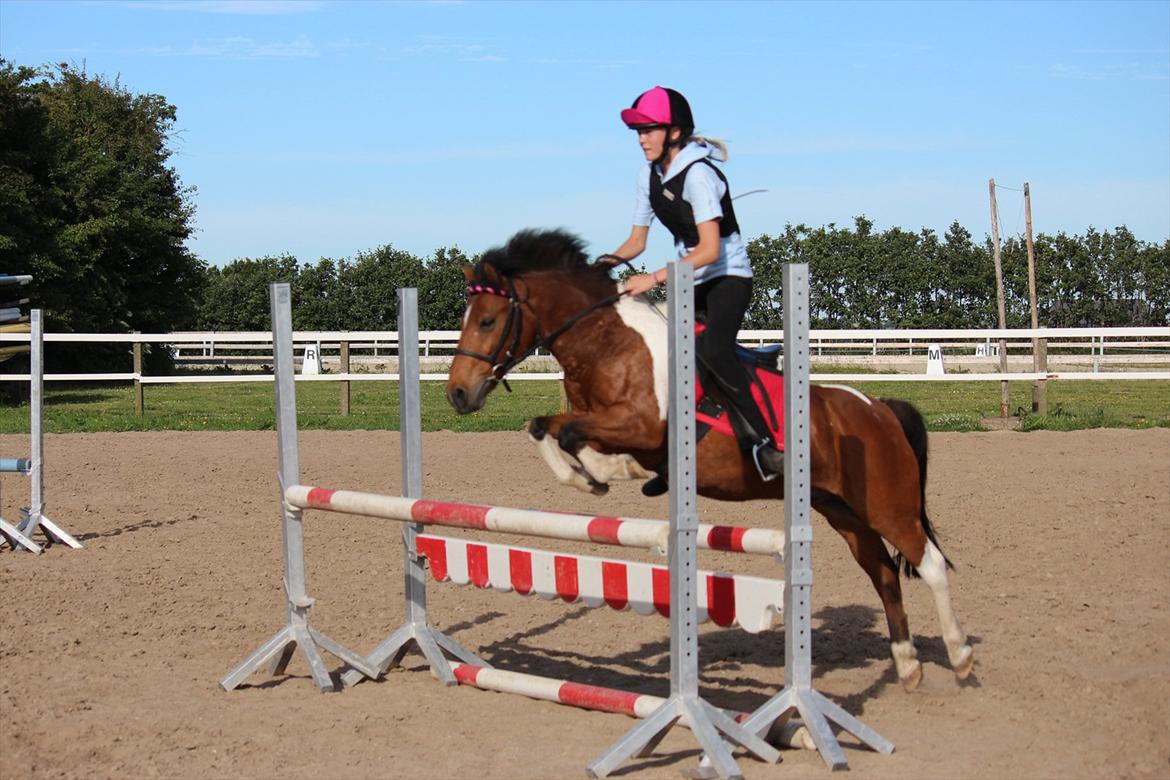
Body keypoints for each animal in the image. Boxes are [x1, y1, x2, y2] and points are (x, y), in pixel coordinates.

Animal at [442, 225, 973, 687]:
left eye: (488, 320)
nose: (458, 394)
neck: (606, 342)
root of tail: (879, 409)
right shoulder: (599, 421)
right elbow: (545, 429)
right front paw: (593, 478)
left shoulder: (640, 426)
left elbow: (573, 435)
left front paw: (613, 471)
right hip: (841, 511)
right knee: (883, 573)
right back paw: (907, 665)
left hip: (886, 505)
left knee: (928, 564)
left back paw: (960, 655)